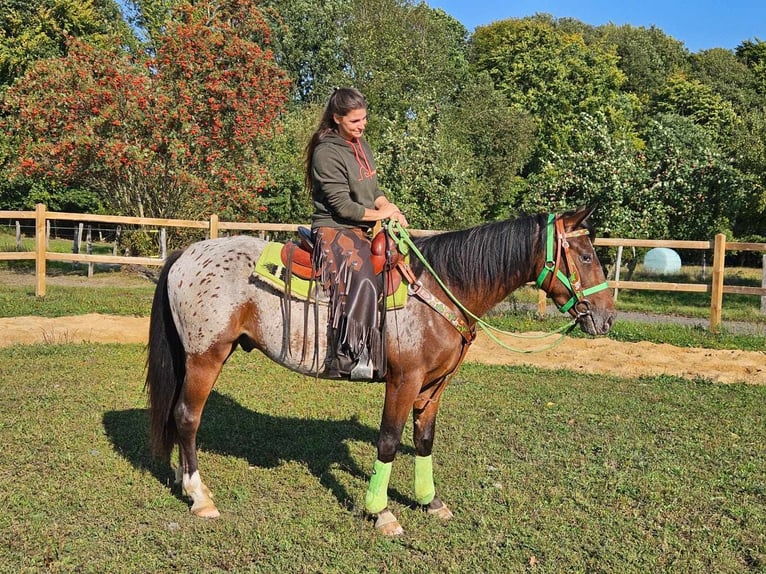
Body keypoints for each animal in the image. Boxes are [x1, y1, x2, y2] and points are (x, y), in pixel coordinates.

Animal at [146, 206, 616, 536]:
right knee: (188, 417)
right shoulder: (403, 381)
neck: (440, 288)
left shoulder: (434, 384)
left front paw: (430, 501)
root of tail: (186, 254)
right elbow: (388, 442)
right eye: (586, 255)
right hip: (206, 357)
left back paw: (185, 482)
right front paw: (382, 512)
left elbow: (423, 440)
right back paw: (199, 497)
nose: (607, 318)